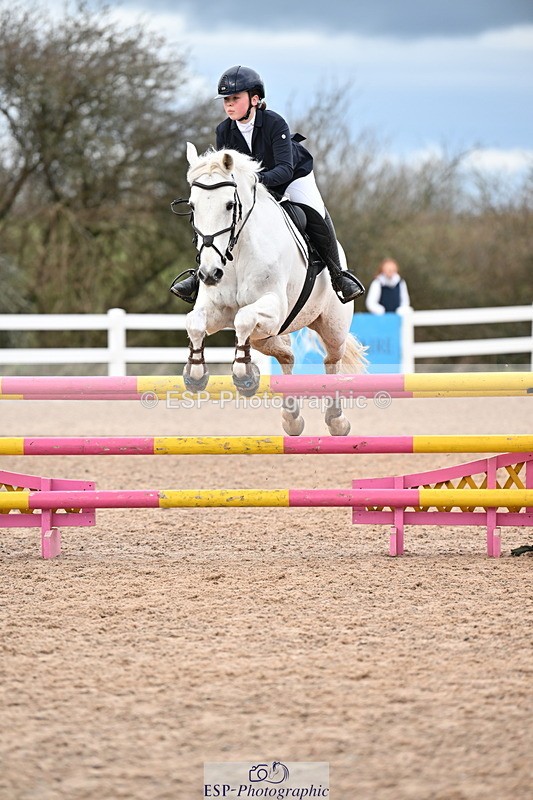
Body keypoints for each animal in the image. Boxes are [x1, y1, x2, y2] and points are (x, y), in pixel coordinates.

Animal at [177, 142, 367, 436]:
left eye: (229, 205)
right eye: (193, 207)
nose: (209, 274)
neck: (236, 251)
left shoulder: (273, 307)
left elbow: (243, 318)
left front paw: (244, 376)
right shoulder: (216, 308)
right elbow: (195, 322)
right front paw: (196, 374)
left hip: (332, 326)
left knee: (331, 360)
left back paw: (337, 421)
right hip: (266, 335)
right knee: (285, 355)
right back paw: (292, 418)